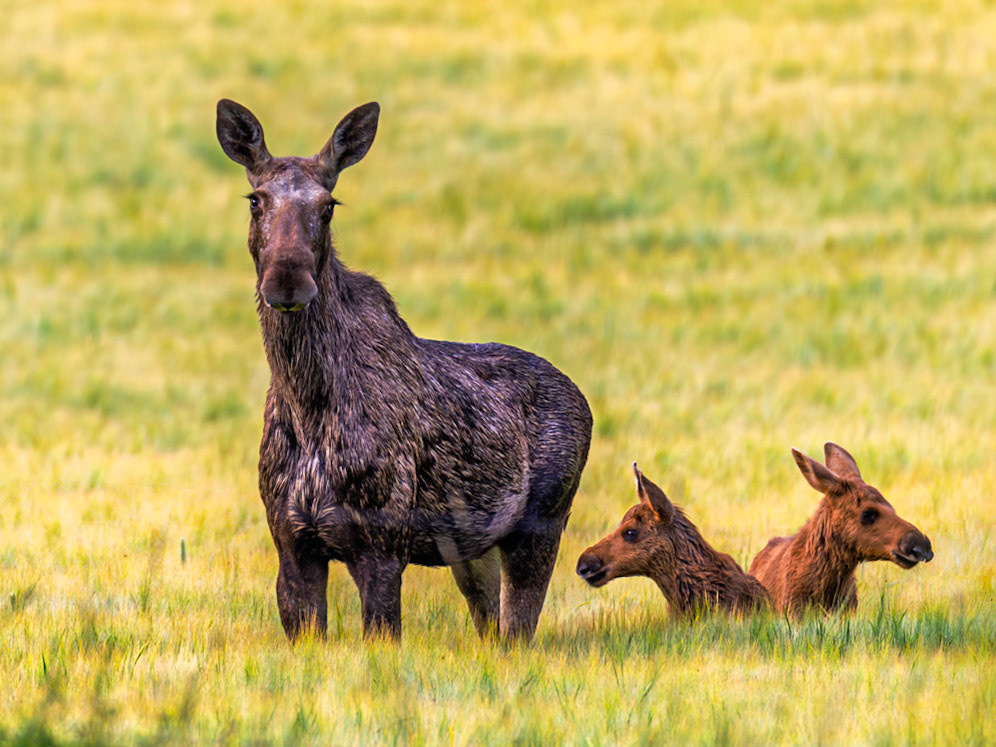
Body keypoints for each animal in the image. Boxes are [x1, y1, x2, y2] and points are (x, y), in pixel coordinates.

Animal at [215, 99, 592, 643]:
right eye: (255, 200)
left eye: (329, 204)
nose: (287, 281)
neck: (309, 409)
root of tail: (585, 402)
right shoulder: (291, 540)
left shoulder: (382, 541)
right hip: (473, 548)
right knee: (492, 627)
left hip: (542, 522)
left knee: (517, 631)